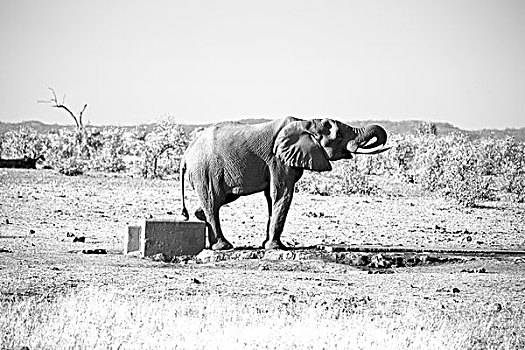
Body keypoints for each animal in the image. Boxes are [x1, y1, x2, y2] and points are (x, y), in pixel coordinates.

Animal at [178, 117, 386, 252]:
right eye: (339, 136)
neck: (306, 122)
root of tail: (186, 155)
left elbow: (273, 197)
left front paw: (267, 245)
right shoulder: (278, 160)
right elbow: (282, 193)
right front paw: (276, 248)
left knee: (218, 200)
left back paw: (205, 227)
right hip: (205, 170)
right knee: (213, 201)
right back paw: (224, 247)